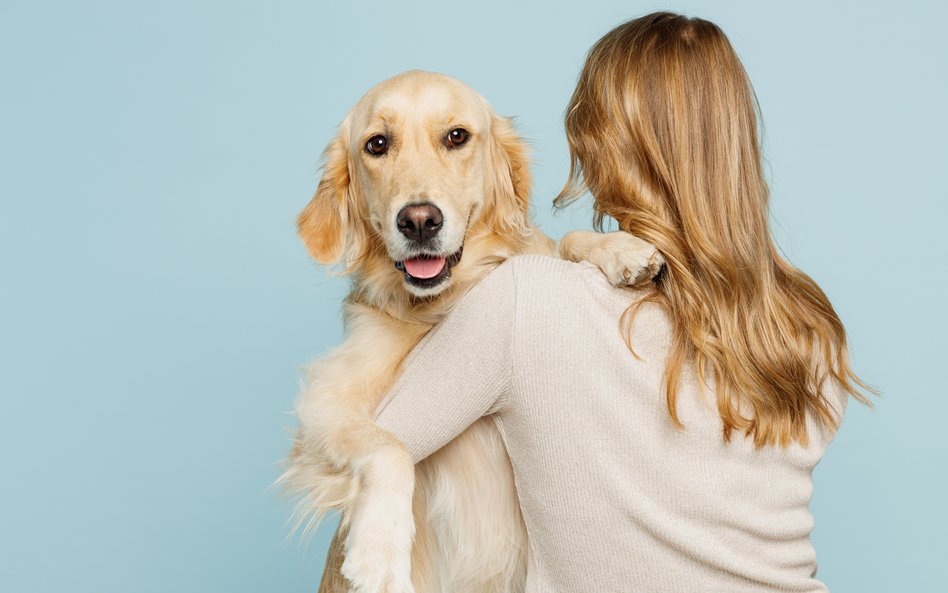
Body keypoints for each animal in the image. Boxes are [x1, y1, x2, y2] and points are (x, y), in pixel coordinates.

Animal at [284, 70, 668, 592]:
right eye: (377, 144)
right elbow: (389, 447)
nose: (419, 221)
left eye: (456, 136)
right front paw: (379, 552)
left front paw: (621, 249)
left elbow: (561, 243)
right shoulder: (325, 401)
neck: (445, 305)